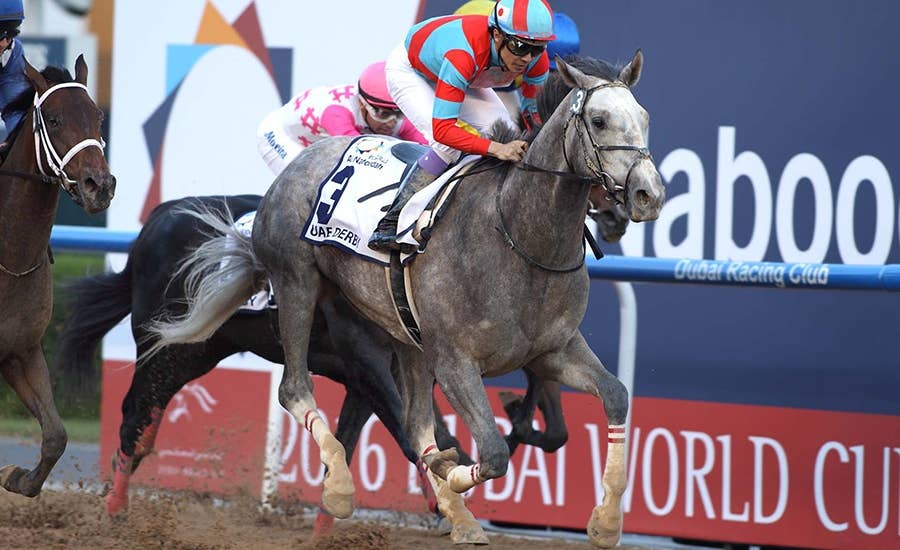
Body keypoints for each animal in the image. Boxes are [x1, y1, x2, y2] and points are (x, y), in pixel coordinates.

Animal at [0, 55, 115, 498]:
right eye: (52, 118)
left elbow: (56, 435)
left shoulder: (22, 351)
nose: (99, 185)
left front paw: (18, 477)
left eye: (98, 116)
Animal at [147, 52, 664, 547]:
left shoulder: (552, 350)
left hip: (405, 336)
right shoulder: (455, 361)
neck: (519, 236)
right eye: (598, 119)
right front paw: (451, 477)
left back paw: (459, 516)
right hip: (297, 283)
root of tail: (301, 161)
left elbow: (615, 396)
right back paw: (340, 486)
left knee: (414, 424)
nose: (648, 194)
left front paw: (606, 522)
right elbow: (493, 452)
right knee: (295, 388)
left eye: (644, 115)